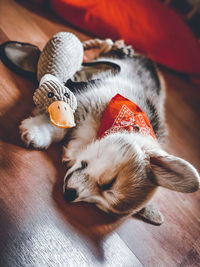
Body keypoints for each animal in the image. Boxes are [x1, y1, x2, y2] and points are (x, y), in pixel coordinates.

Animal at [19, 51, 200, 224]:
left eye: (97, 205)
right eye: (110, 182)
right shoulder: (87, 101)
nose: (69, 196)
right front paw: (37, 131)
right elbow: (61, 124)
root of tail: (150, 61)